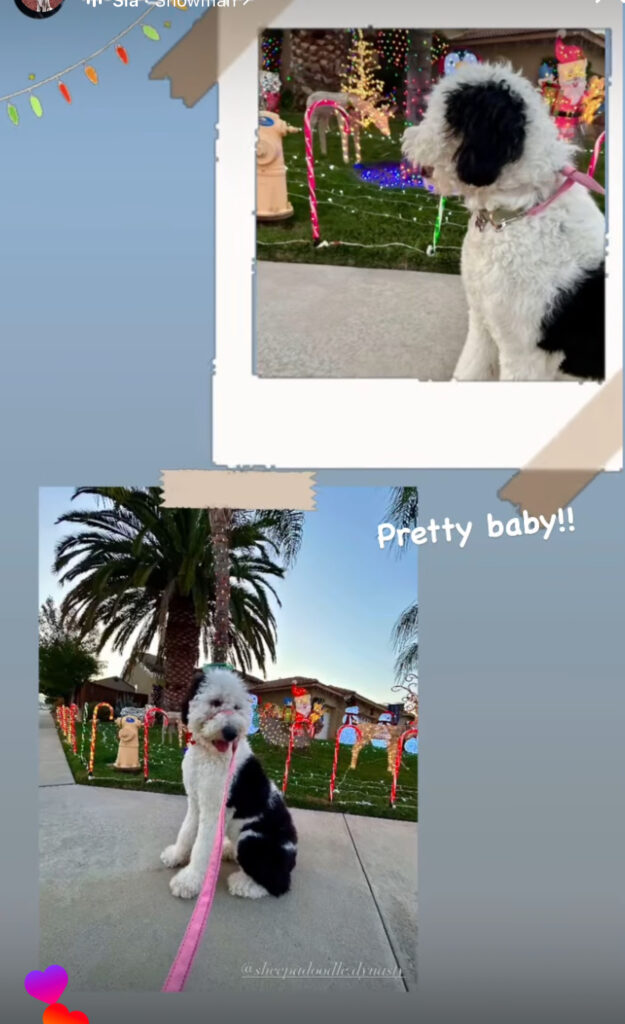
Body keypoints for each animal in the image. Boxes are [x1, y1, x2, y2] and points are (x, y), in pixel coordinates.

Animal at [160, 663, 297, 897]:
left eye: (236, 707)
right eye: (216, 702)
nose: (231, 732)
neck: (209, 754)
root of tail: (291, 860)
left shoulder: (215, 810)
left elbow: (202, 847)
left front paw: (188, 882)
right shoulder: (195, 801)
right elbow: (186, 832)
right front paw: (176, 856)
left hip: (251, 840)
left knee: (278, 884)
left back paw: (242, 884)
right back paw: (227, 850)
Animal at [399, 64, 602, 385]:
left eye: (447, 116)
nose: (407, 138)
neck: (510, 215)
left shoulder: (524, 353)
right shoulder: (482, 321)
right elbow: (469, 369)